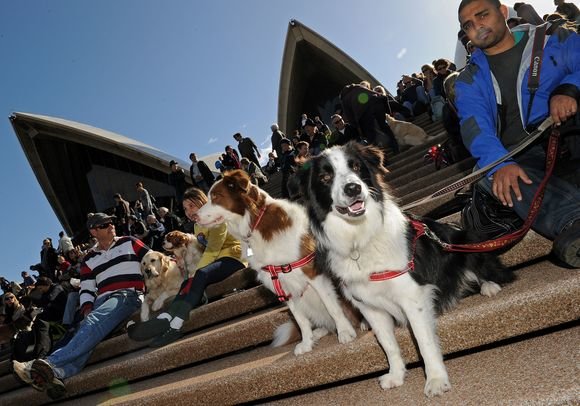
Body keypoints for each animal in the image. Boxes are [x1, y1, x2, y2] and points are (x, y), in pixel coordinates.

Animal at [195, 170, 358, 354]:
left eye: (216, 196)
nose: (194, 216)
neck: (255, 223)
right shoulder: (282, 284)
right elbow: (300, 320)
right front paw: (307, 342)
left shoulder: (314, 273)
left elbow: (333, 308)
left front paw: (344, 332)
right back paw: (319, 332)